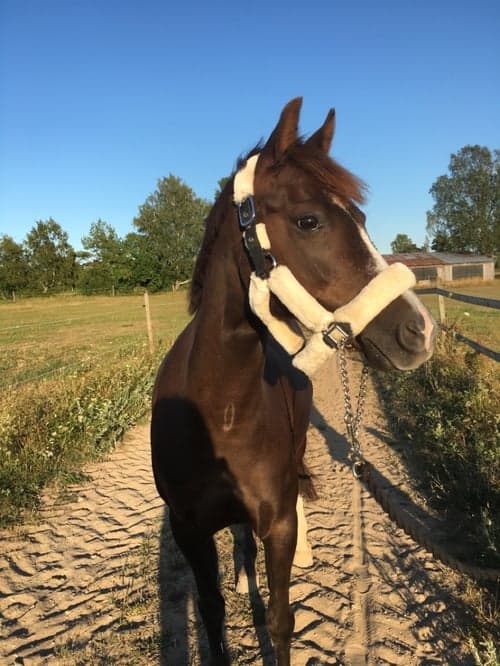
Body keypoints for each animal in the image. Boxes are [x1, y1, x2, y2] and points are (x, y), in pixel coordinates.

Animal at [150, 98, 436, 664]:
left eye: (362, 219)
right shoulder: (190, 531)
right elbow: (211, 616)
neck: (219, 409)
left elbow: (282, 620)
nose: (418, 331)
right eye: (309, 221)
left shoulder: (277, 523)